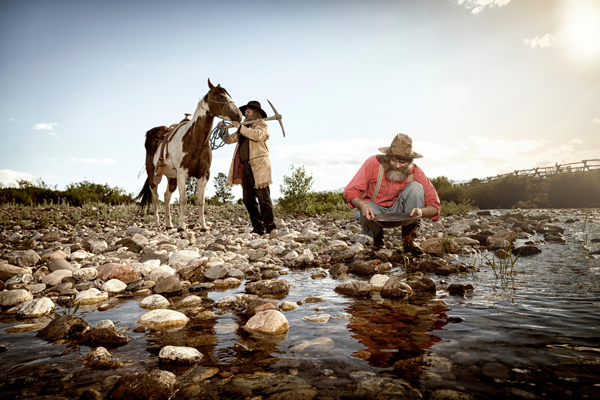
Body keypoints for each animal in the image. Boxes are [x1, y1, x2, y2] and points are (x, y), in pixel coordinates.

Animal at [137, 79, 243, 230]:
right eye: (221, 96)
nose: (239, 115)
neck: (194, 139)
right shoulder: (182, 173)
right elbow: (183, 199)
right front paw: (182, 225)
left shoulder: (203, 174)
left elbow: (201, 201)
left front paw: (203, 226)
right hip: (153, 175)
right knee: (155, 197)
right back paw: (157, 223)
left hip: (171, 177)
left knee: (166, 196)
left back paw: (169, 224)